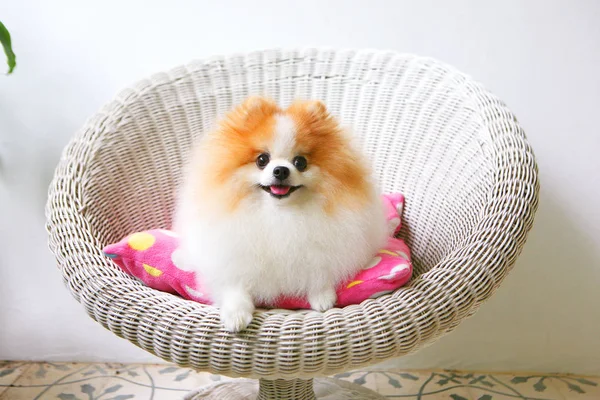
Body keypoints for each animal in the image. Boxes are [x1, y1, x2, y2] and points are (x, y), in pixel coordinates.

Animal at [173, 96, 390, 332]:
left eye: (300, 162)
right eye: (262, 160)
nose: (280, 170)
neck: (280, 215)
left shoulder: (321, 249)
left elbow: (319, 268)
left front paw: (322, 295)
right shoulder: (229, 257)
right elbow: (234, 285)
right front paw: (236, 315)